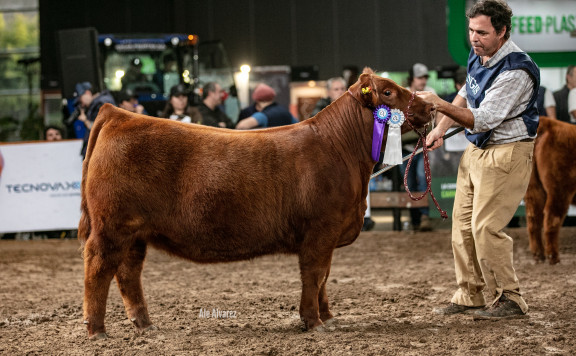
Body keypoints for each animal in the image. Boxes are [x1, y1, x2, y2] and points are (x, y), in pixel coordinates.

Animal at [77, 69, 436, 340]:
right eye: (388, 92)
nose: (432, 108)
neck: (342, 148)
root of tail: (117, 114)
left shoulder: (328, 234)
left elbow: (324, 277)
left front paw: (327, 317)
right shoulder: (321, 230)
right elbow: (314, 275)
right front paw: (313, 322)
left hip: (135, 233)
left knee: (128, 274)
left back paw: (145, 325)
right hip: (112, 227)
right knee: (98, 268)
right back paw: (97, 330)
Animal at [524, 116, 576, 264]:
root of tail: (549, 123)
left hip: (533, 187)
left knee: (533, 218)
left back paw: (538, 255)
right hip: (560, 187)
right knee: (552, 218)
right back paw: (553, 257)